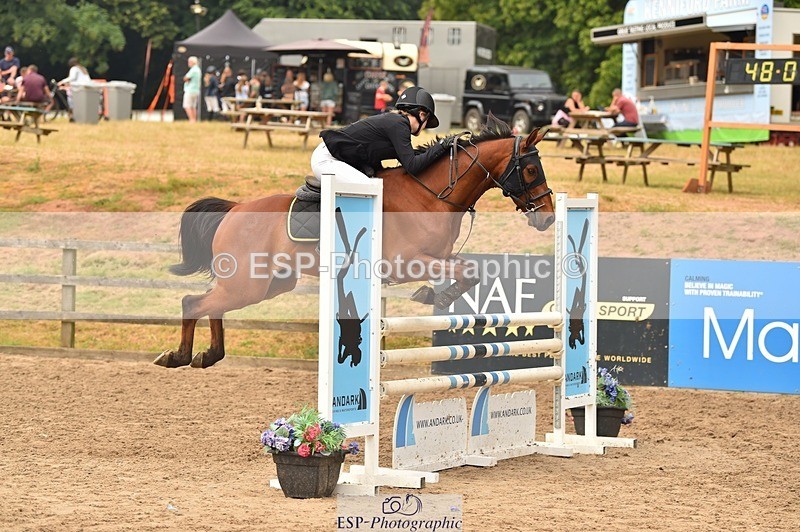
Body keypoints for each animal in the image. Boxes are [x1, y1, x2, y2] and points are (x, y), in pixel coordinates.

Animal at [154, 115, 555, 369]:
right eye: (530, 169)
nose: (549, 217)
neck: (432, 195)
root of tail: (236, 208)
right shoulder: (405, 262)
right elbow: (466, 273)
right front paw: (432, 296)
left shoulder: (439, 257)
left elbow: (470, 271)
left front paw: (433, 295)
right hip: (247, 284)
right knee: (193, 302)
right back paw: (178, 357)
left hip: (267, 285)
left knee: (212, 304)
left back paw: (207, 356)